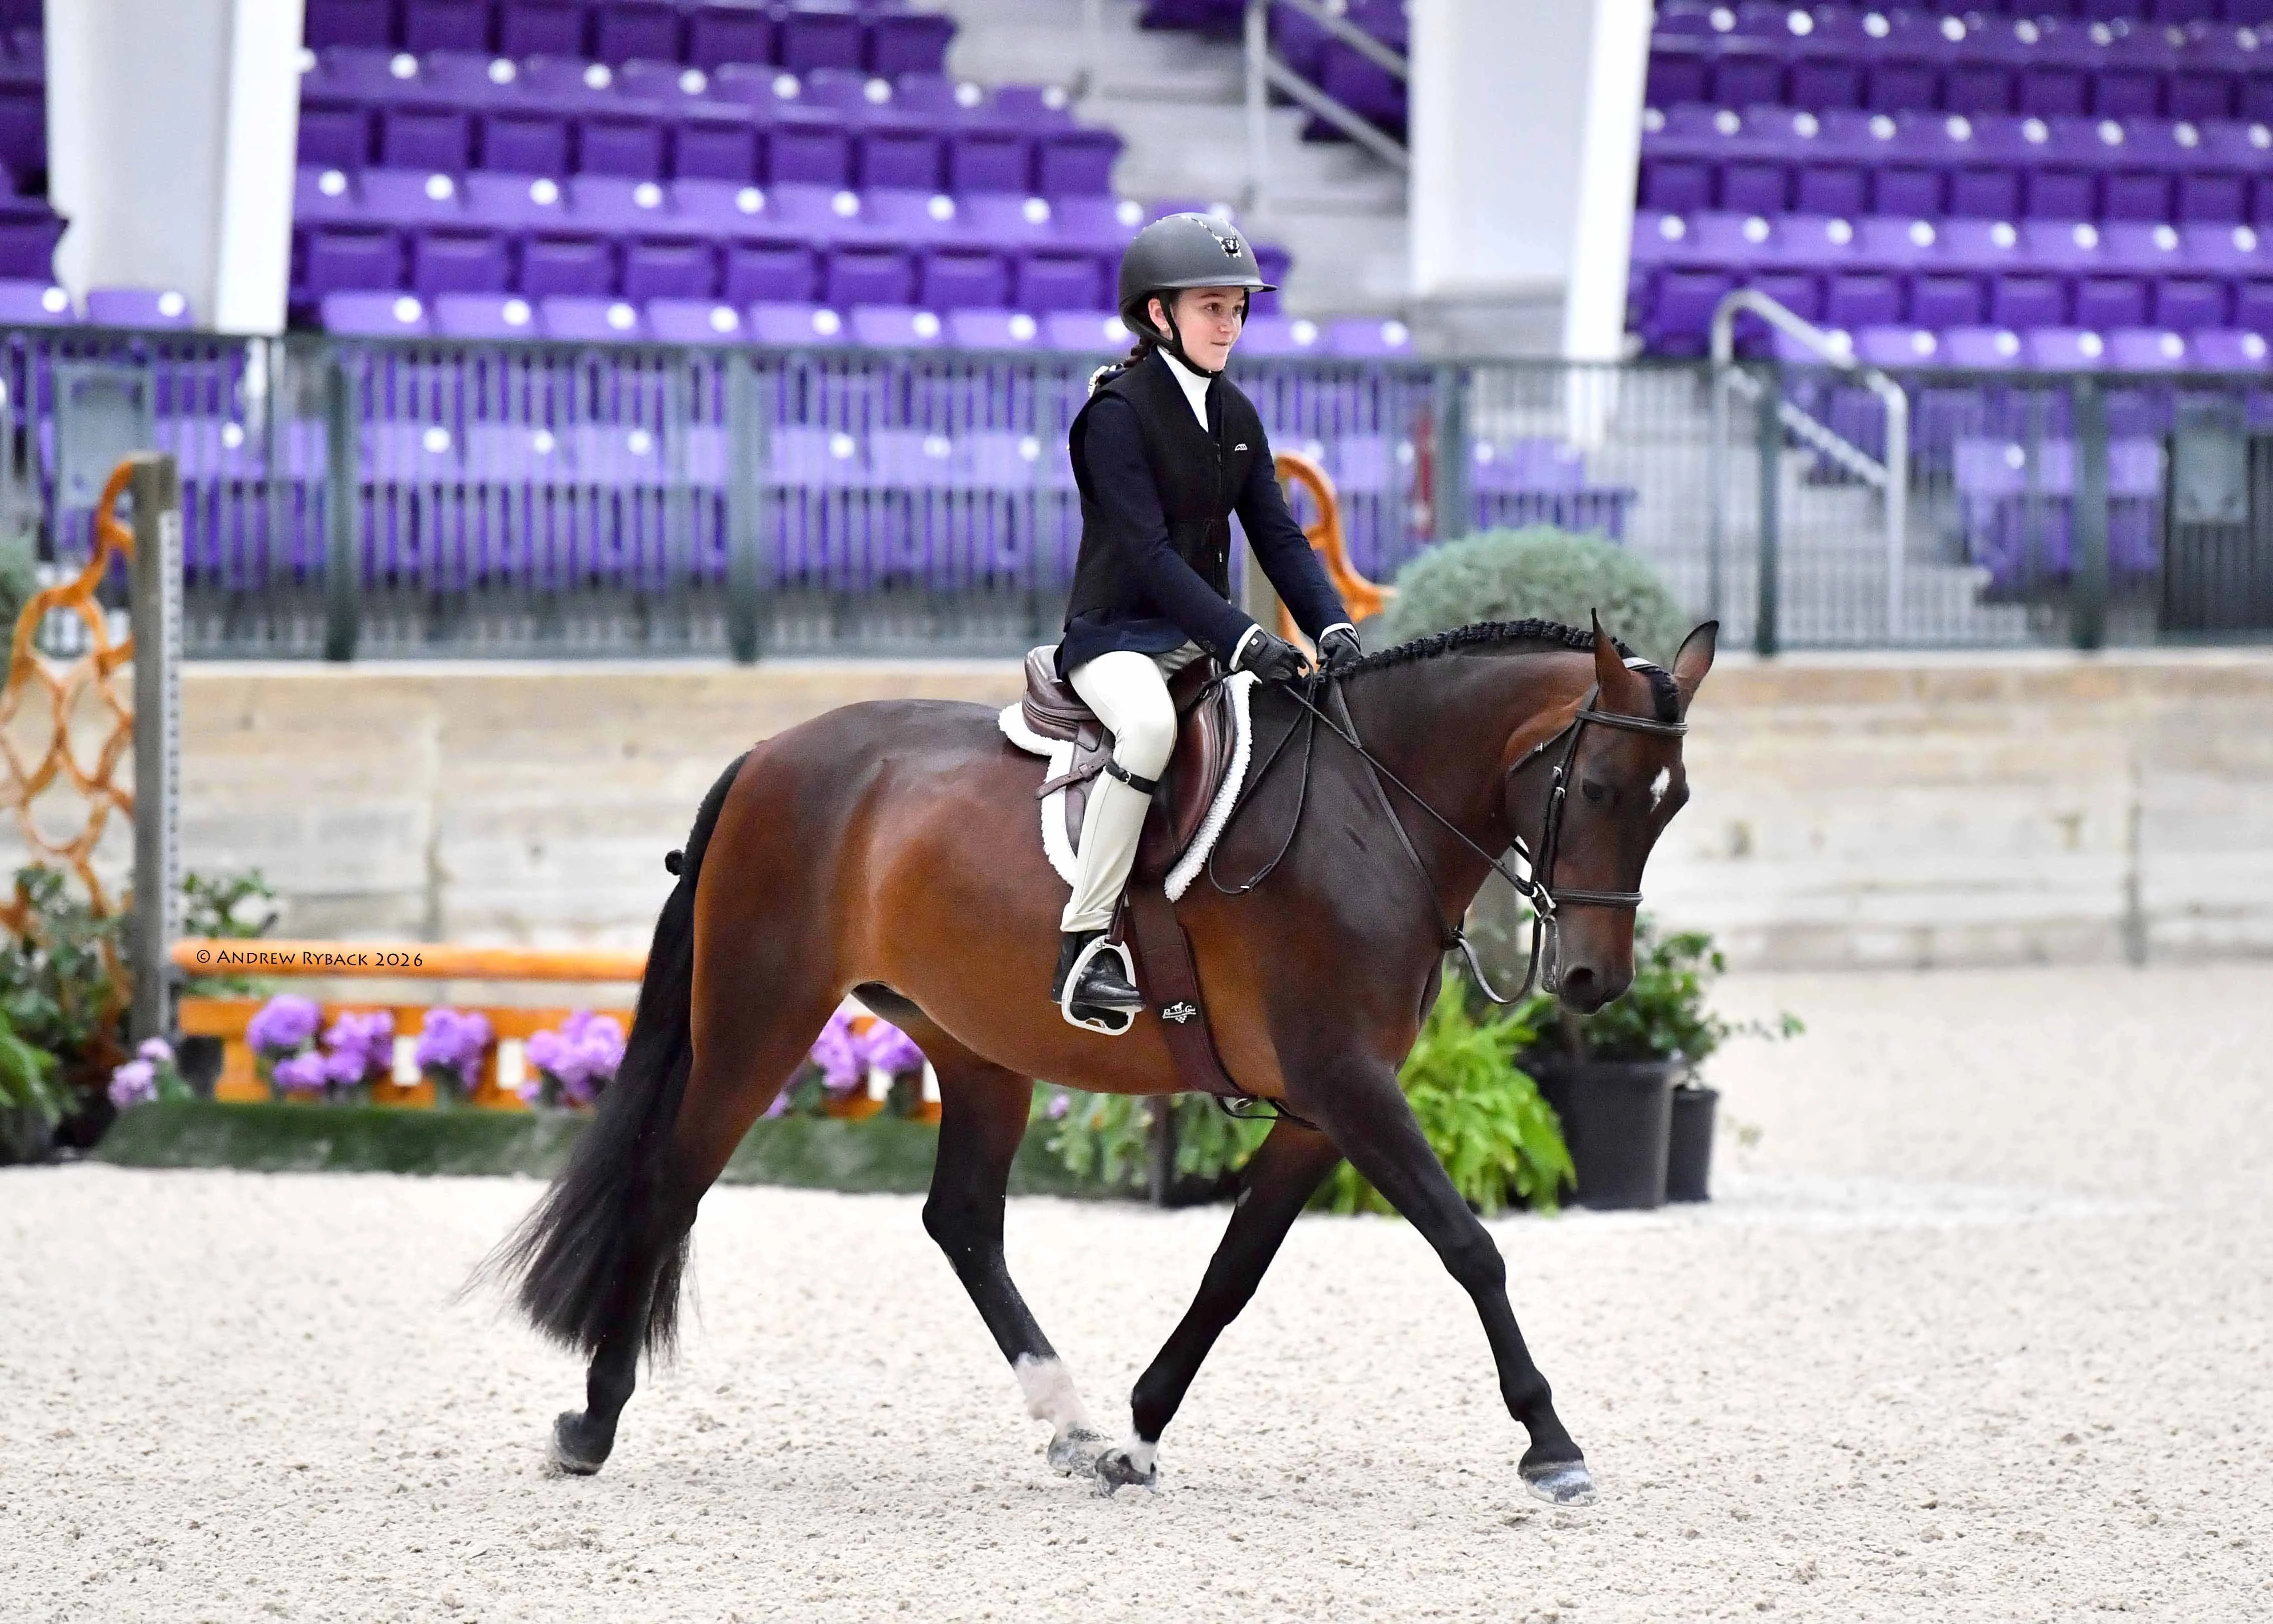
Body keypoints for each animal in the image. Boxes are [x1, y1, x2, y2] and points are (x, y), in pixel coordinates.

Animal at [484, 614, 1718, 1507]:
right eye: (1596, 789)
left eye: (1674, 805)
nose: (1591, 984)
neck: (1377, 810)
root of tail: (764, 755)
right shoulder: (1347, 1086)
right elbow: (1471, 1247)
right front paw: (1551, 1442)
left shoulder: (1320, 1108)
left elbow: (1231, 1273)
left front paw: (1133, 1437)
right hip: (761, 1014)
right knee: (670, 1185)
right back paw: (591, 1421)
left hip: (977, 1046)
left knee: (961, 1220)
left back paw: (1069, 1421)